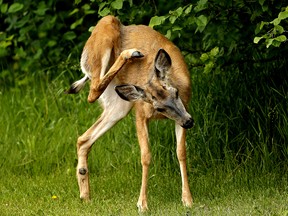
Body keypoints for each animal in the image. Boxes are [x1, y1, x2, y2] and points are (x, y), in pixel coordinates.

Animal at [66, 15, 194, 213]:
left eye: (176, 93)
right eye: (158, 108)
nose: (189, 122)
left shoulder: (183, 110)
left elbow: (181, 152)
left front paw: (187, 200)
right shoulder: (140, 113)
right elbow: (146, 156)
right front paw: (142, 204)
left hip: (119, 105)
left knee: (83, 138)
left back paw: (85, 195)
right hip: (105, 28)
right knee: (92, 91)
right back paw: (131, 53)